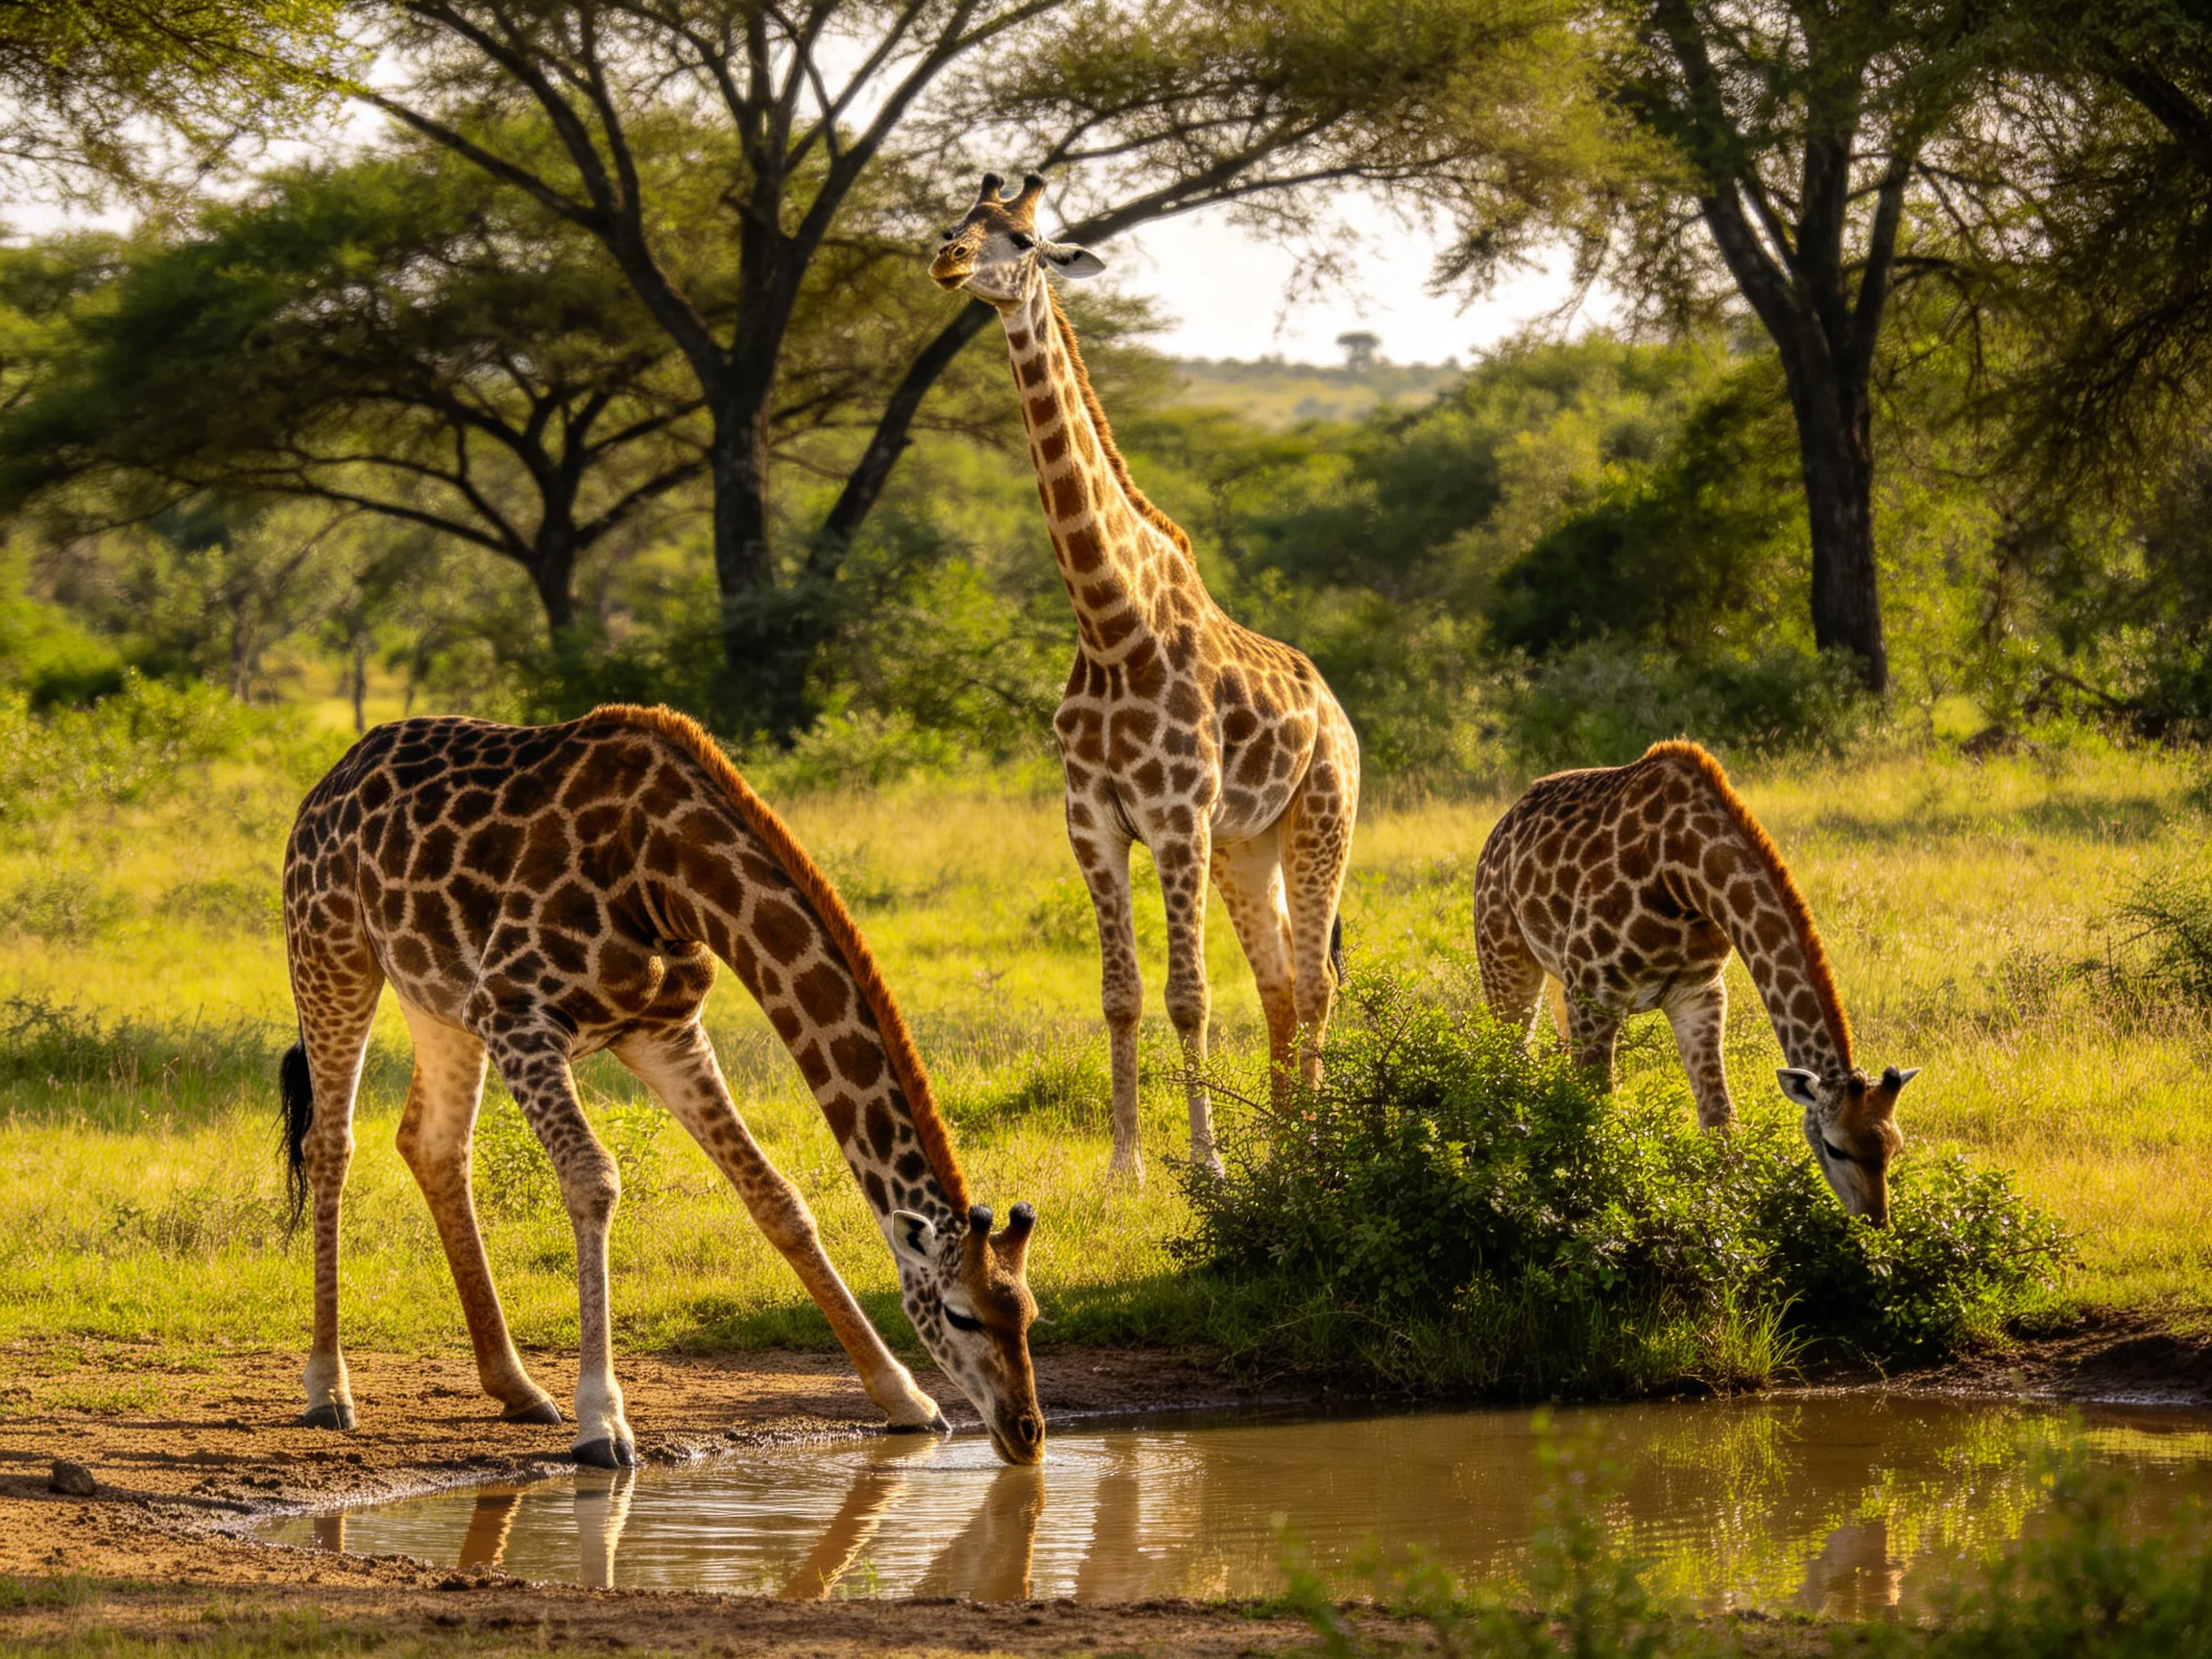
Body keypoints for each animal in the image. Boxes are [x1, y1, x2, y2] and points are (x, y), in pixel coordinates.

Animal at [279, 705, 1046, 1466]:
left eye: (1031, 1312)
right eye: (961, 1315)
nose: (1027, 1433)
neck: (670, 875)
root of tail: (326, 784)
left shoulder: (665, 1032)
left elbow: (777, 1198)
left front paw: (905, 1399)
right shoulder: (516, 1011)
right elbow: (593, 1178)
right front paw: (603, 1421)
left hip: (436, 999)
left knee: (433, 1143)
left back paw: (519, 1389)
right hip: (332, 952)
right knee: (330, 1142)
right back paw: (328, 1390)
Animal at [930, 172, 1361, 1179]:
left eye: (1021, 238)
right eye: (955, 221)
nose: (948, 262)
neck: (1110, 623)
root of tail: (1339, 713)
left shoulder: (1174, 818)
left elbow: (1187, 995)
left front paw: (1202, 1165)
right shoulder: (1091, 821)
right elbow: (1122, 995)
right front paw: (1125, 1164)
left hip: (1322, 818)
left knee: (1315, 982)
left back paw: (1308, 1148)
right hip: (1247, 844)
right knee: (1280, 983)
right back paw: (1277, 1145)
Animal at [1472, 740, 1916, 1224]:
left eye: (1894, 1148)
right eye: (1836, 1148)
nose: (1875, 1221)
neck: (1686, 875)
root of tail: (1502, 827)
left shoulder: (1699, 993)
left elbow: (1720, 1120)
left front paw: (1730, 1211)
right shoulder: (1595, 988)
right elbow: (1595, 1108)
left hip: (1557, 979)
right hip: (1504, 954)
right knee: (1507, 1058)